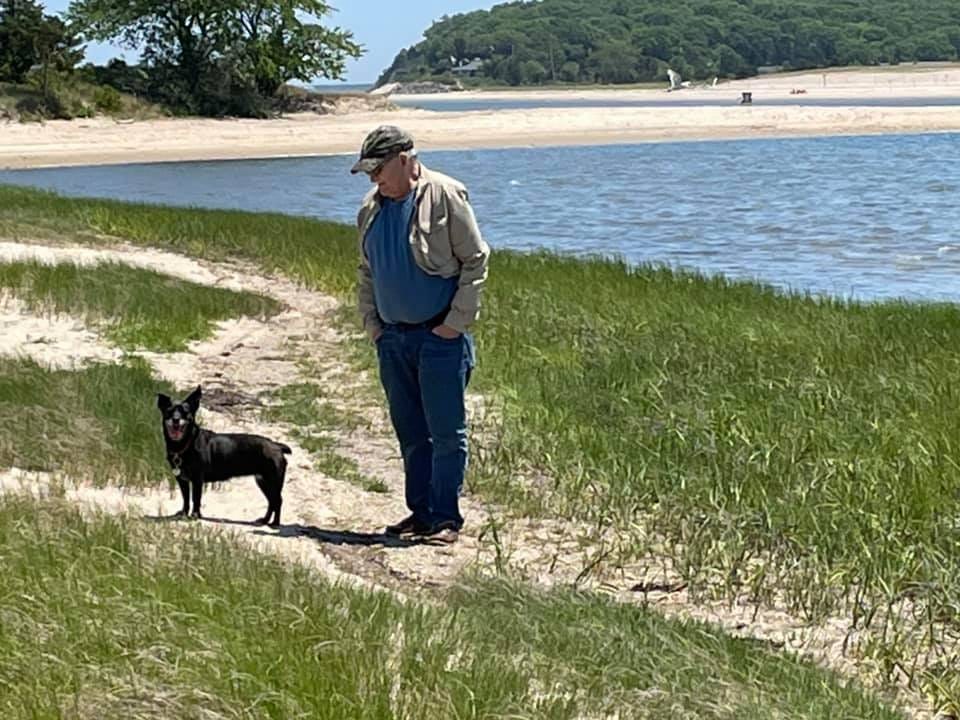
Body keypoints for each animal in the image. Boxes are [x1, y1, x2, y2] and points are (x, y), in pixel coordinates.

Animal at [158, 386, 290, 524]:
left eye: (185, 412)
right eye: (169, 411)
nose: (176, 420)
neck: (185, 444)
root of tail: (276, 445)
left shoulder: (197, 479)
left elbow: (196, 498)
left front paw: (195, 515)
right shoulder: (181, 479)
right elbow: (186, 499)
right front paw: (184, 513)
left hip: (272, 480)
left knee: (278, 501)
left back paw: (275, 523)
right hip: (263, 481)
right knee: (272, 501)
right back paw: (265, 520)